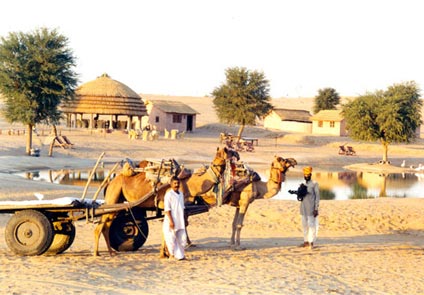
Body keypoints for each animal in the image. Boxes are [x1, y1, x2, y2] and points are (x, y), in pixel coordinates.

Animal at [93, 147, 238, 256]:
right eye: (228, 151)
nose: (237, 154)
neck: (190, 183)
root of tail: (110, 182)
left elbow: (178, 225)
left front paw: (171, 250)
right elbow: (177, 225)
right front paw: (172, 250)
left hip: (117, 201)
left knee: (106, 225)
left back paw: (110, 252)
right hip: (113, 195)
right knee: (101, 225)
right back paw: (96, 253)